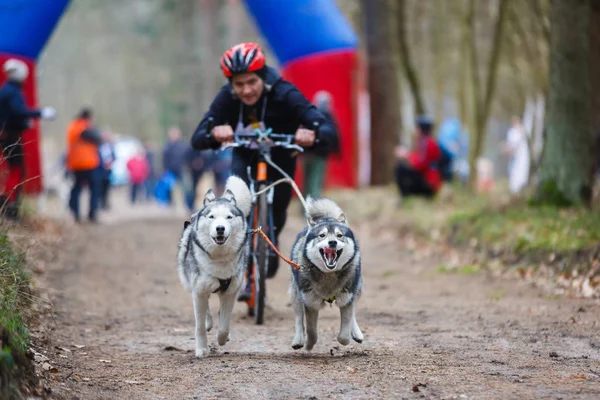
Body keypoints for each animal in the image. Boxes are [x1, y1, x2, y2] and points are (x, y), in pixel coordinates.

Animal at [178, 177, 253, 358]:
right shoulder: (199, 289)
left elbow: (225, 324)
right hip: (191, 284)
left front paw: (222, 339)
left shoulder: (230, 292)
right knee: (204, 310)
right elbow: (198, 326)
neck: (219, 258)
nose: (220, 228)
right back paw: (207, 323)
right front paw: (201, 349)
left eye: (229, 217)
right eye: (211, 217)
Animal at [288, 197, 364, 350]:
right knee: (299, 316)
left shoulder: (347, 298)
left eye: (339, 235)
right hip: (296, 293)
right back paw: (298, 339)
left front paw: (346, 338)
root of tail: (326, 217)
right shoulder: (310, 302)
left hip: (356, 288)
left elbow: (344, 333)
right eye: (321, 235)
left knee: (353, 310)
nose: (332, 242)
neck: (329, 274)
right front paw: (309, 344)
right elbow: (311, 330)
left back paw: (356, 332)